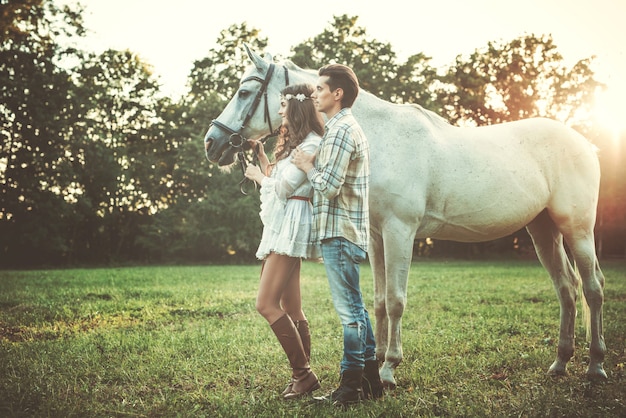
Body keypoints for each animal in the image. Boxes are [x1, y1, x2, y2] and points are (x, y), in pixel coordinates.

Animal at [204, 45, 604, 386]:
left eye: (244, 92)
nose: (212, 143)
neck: (375, 139)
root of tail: (585, 143)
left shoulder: (401, 232)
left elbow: (396, 300)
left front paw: (388, 370)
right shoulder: (378, 236)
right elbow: (380, 301)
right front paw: (377, 359)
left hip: (578, 229)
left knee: (592, 288)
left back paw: (595, 366)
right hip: (544, 231)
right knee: (567, 288)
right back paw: (560, 362)